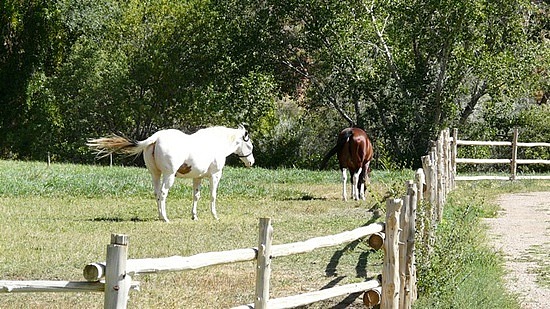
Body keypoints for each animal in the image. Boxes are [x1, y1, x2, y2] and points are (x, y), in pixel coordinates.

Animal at [87, 124, 256, 220]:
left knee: (156, 193)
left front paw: (194, 216)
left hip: (155, 175)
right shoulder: (215, 175)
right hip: (169, 176)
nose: (251, 162)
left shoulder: (198, 177)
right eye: (250, 145)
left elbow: (196, 196)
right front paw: (215, 216)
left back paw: (159, 215)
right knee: (163, 193)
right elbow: (213, 196)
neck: (215, 143)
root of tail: (156, 137)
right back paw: (165, 218)